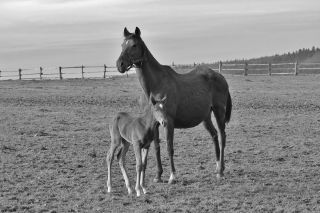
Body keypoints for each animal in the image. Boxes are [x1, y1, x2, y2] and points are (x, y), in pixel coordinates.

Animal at [116, 26, 231, 183]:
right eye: (122, 45)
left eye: (134, 45)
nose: (119, 64)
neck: (156, 85)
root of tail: (220, 77)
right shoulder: (155, 124)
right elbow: (157, 148)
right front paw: (158, 175)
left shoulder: (168, 122)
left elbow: (169, 148)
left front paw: (172, 176)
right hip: (206, 117)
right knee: (214, 136)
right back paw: (218, 167)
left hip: (219, 112)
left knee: (221, 136)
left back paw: (221, 171)